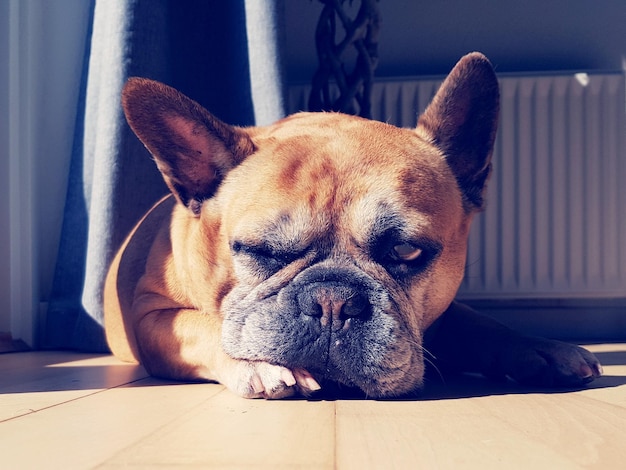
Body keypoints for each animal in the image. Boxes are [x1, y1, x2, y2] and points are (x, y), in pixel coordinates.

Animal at [103, 53, 600, 398]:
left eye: (406, 251)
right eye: (261, 251)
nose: (332, 301)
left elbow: (478, 321)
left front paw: (540, 347)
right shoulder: (153, 318)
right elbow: (204, 327)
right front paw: (255, 364)